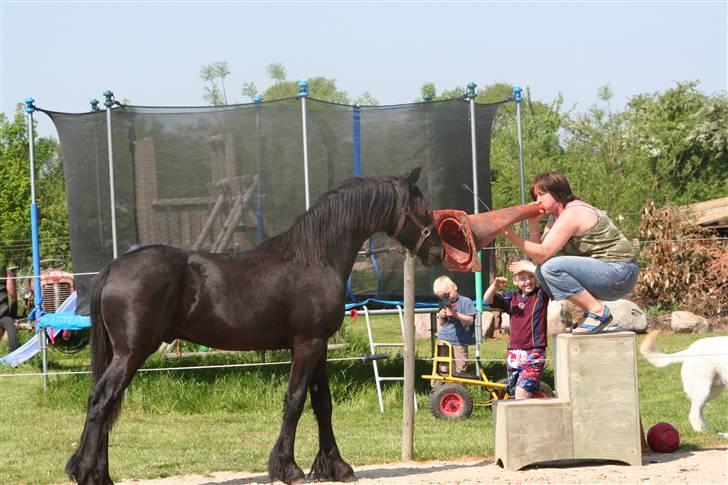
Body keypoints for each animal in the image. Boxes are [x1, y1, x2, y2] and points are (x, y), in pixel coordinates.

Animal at [67, 167, 444, 484]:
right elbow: (295, 400)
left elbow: (322, 403)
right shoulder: (307, 344)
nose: (439, 252)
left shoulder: (319, 345)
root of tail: (114, 267)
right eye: (423, 209)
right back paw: (86, 473)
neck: (315, 259)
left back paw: (100, 474)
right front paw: (288, 468)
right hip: (131, 353)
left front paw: (336, 466)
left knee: (107, 403)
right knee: (102, 400)